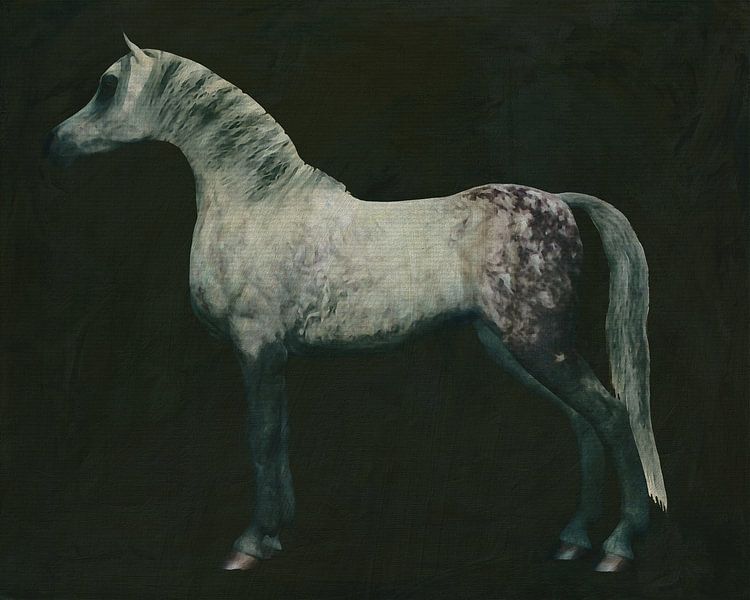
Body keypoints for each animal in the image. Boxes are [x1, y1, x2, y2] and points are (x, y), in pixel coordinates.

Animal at [45, 34, 667, 573]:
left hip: (539, 345)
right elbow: (279, 437)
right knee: (582, 422)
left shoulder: (256, 346)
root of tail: (559, 201)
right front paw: (276, 533)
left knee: (612, 417)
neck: (259, 206)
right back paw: (573, 539)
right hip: (514, 348)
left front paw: (250, 543)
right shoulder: (274, 355)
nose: (55, 143)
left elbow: (260, 438)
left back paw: (617, 546)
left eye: (106, 86)